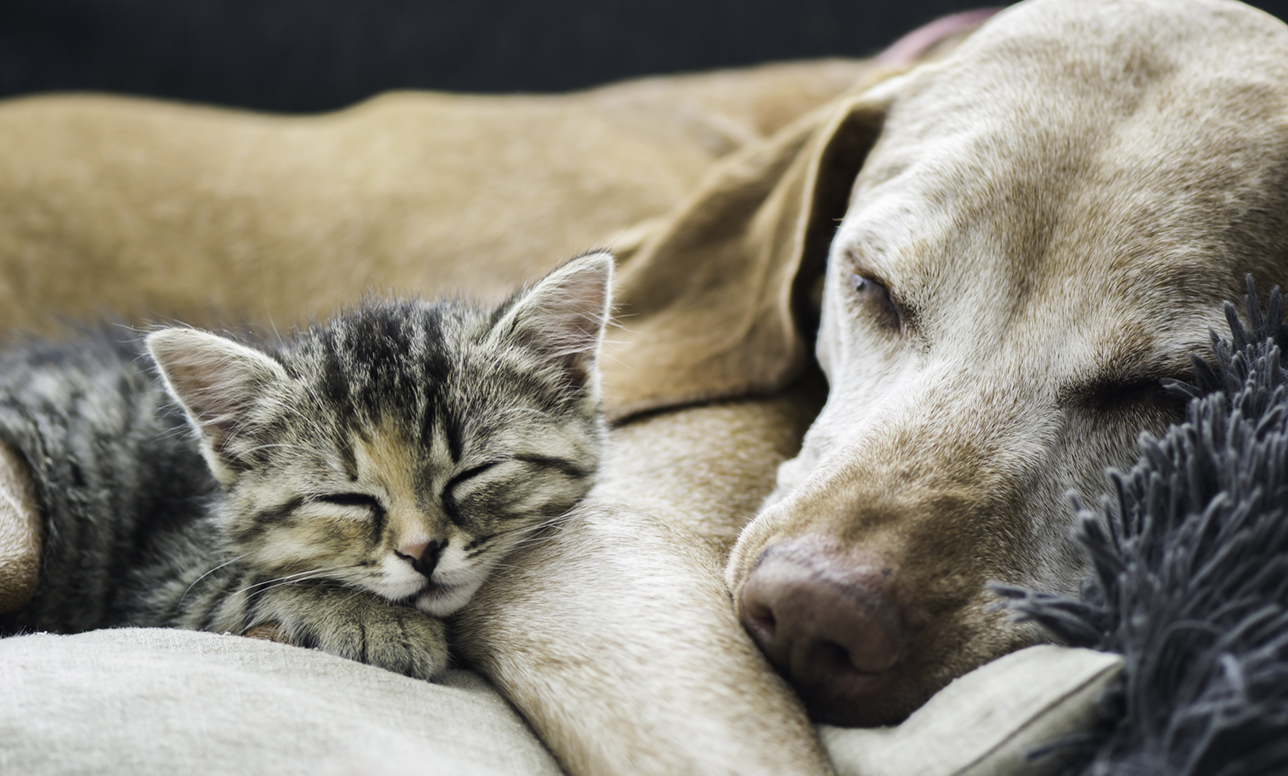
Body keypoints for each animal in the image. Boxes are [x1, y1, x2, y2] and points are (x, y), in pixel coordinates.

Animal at [0, 251, 613, 675]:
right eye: (347, 499)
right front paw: (378, 620)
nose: (422, 552)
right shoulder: (161, 585)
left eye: (473, 475)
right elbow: (252, 587)